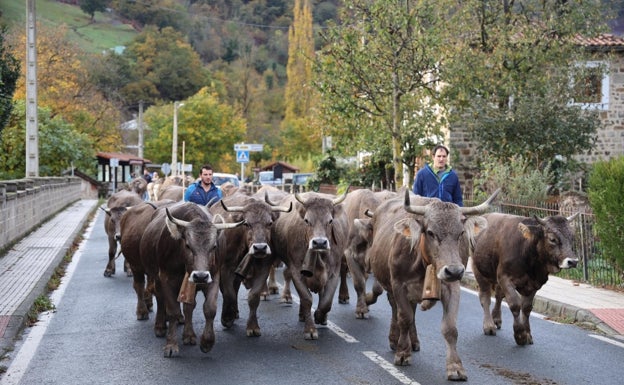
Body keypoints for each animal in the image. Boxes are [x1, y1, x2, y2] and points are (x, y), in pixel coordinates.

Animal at [139, 202, 244, 356]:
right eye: (188, 245)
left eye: (214, 246)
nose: (200, 275)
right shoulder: (166, 278)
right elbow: (172, 310)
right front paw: (171, 344)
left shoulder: (213, 277)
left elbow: (209, 308)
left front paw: (207, 342)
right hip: (156, 277)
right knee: (160, 299)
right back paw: (160, 326)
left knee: (189, 307)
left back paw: (189, 335)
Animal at [207, 190, 290, 334]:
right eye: (246, 224)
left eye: (269, 223)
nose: (260, 248)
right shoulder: (226, 268)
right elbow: (229, 293)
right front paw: (227, 317)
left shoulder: (263, 269)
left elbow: (253, 297)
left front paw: (253, 326)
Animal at [272, 190, 352, 340]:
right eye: (307, 220)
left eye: (330, 221)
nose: (319, 242)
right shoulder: (296, 271)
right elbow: (306, 299)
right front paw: (310, 329)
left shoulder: (334, 272)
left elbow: (326, 301)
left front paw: (320, 316)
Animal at [366, 189, 498, 378]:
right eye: (430, 232)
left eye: (461, 233)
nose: (454, 271)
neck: (423, 263)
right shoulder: (399, 285)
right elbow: (404, 318)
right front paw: (403, 353)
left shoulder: (452, 287)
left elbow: (450, 327)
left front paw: (455, 366)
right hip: (390, 284)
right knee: (396, 310)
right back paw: (395, 339)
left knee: (410, 311)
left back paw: (413, 341)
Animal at [472, 210, 580, 344]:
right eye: (552, 239)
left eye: (572, 237)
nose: (573, 261)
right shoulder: (505, 278)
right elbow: (515, 304)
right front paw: (520, 334)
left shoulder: (534, 283)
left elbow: (527, 307)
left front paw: (527, 334)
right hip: (479, 271)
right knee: (485, 297)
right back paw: (489, 326)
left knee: (498, 295)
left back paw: (496, 318)